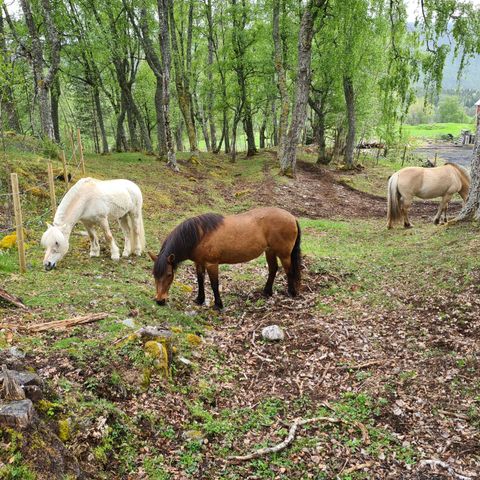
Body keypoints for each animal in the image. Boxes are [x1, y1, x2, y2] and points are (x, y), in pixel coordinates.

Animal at [148, 207, 302, 312]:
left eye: (169, 274)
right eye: (154, 275)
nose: (160, 300)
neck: (199, 235)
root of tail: (292, 217)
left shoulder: (212, 264)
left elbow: (214, 284)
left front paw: (218, 304)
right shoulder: (199, 263)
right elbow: (200, 280)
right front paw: (199, 299)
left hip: (284, 254)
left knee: (289, 271)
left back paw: (291, 292)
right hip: (269, 251)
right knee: (273, 269)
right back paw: (267, 292)